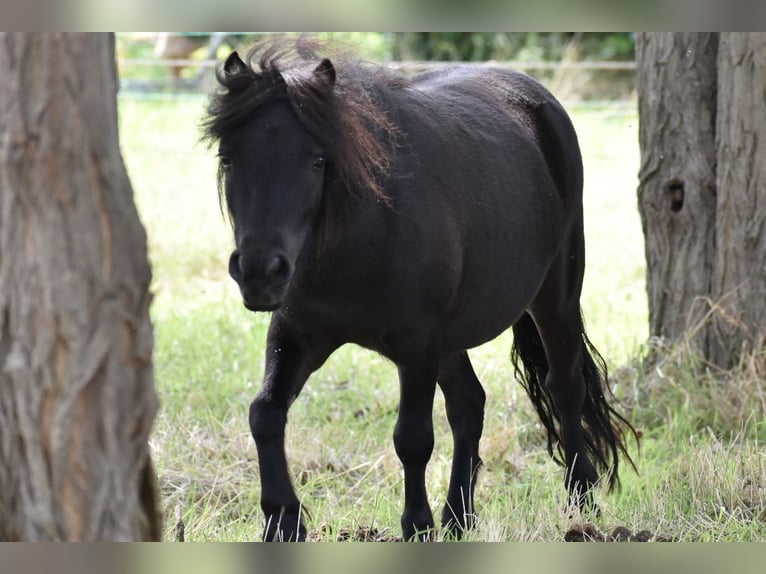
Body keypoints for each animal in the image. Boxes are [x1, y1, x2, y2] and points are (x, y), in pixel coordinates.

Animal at [201, 42, 640, 544]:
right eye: (228, 158)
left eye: (316, 160)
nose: (259, 272)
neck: (360, 232)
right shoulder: (297, 334)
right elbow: (265, 414)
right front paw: (282, 520)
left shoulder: (416, 346)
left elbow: (412, 438)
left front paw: (417, 524)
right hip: (450, 340)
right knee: (469, 404)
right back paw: (459, 516)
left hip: (555, 300)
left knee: (564, 388)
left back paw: (580, 500)